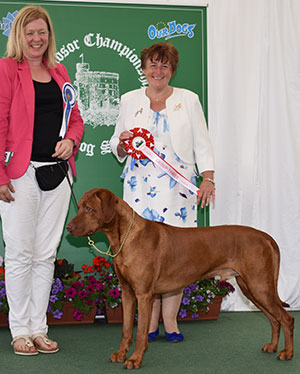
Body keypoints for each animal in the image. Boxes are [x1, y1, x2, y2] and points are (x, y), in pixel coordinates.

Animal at [67, 188, 294, 370]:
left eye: (89, 209)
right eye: (79, 207)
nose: (68, 228)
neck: (125, 238)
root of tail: (264, 235)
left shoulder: (144, 295)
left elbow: (140, 333)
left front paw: (135, 359)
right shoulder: (127, 293)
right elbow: (125, 329)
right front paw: (121, 354)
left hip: (259, 286)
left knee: (286, 318)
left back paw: (287, 353)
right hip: (251, 288)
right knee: (274, 319)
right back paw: (273, 346)